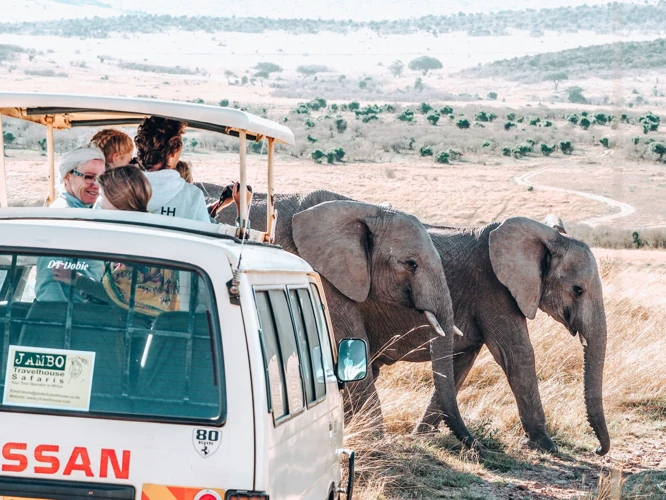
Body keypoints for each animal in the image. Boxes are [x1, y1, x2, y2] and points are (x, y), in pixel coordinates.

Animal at [197, 187, 478, 450]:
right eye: (411, 264)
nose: (476, 446)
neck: (362, 209)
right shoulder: (320, 274)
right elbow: (349, 340)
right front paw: (375, 440)